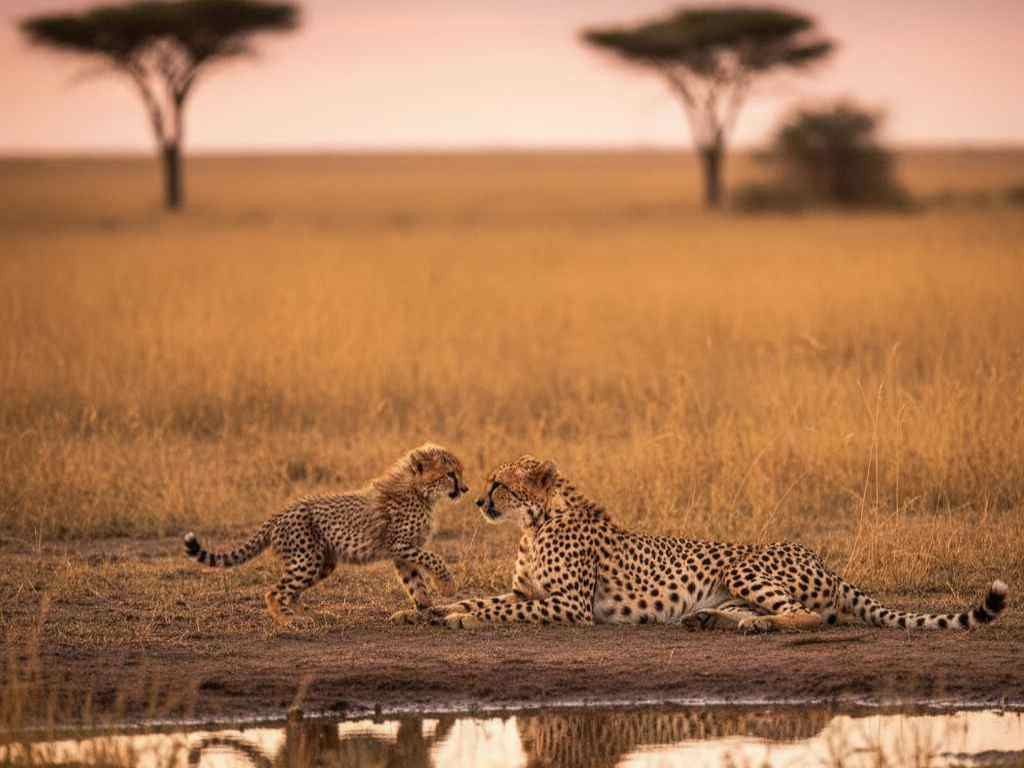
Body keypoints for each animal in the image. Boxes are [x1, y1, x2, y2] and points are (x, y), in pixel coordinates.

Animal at [183, 443, 469, 625]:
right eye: (450, 474)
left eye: (459, 473)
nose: (465, 489)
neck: (419, 491)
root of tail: (281, 511)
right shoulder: (399, 545)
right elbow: (434, 558)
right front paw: (447, 586)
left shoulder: (401, 554)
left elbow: (414, 583)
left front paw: (426, 609)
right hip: (307, 559)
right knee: (275, 592)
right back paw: (290, 621)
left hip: (322, 562)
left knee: (292, 593)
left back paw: (311, 615)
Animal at [416, 455, 1007, 633]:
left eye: (500, 484)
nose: (478, 501)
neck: (536, 522)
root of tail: (821, 557)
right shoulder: (525, 592)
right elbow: (485, 598)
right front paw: (428, 611)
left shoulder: (569, 606)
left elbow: (496, 609)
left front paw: (459, 618)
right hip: (735, 586)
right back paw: (713, 619)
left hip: (745, 569)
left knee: (812, 616)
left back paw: (760, 626)